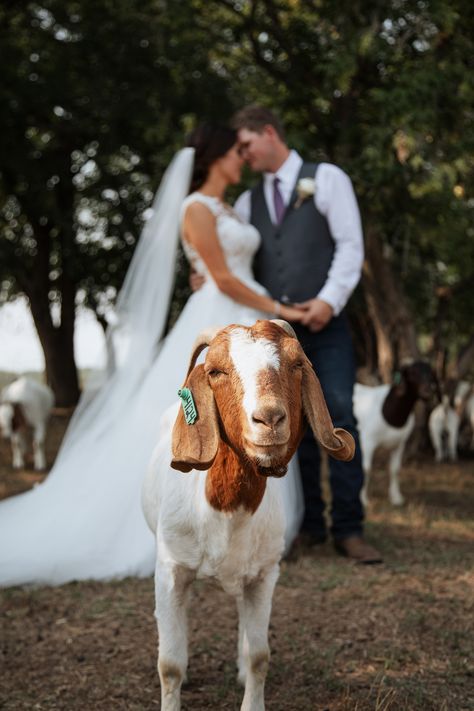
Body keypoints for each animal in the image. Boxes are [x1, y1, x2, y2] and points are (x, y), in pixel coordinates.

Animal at [143, 322, 354, 711]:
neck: (226, 510)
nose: (269, 418)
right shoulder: (170, 571)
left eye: (297, 364)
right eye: (215, 371)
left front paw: (249, 680)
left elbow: (259, 656)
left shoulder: (265, 574)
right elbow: (170, 664)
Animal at [354, 364, 438, 508]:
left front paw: (396, 497)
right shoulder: (367, 441)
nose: (428, 391)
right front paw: (363, 499)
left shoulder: (399, 444)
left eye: (431, 373)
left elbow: (395, 469)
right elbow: (366, 469)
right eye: (412, 373)